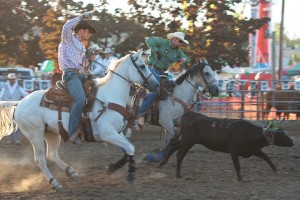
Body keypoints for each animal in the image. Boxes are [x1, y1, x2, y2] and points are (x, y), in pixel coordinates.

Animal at [0, 50, 159, 191]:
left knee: (51, 155)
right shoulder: (108, 134)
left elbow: (128, 148)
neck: (110, 95)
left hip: (51, 133)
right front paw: (131, 174)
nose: (156, 84)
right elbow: (130, 148)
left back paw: (72, 173)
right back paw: (56, 184)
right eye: (142, 66)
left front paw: (112, 168)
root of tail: (20, 103)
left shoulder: (117, 133)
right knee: (40, 159)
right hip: (35, 134)